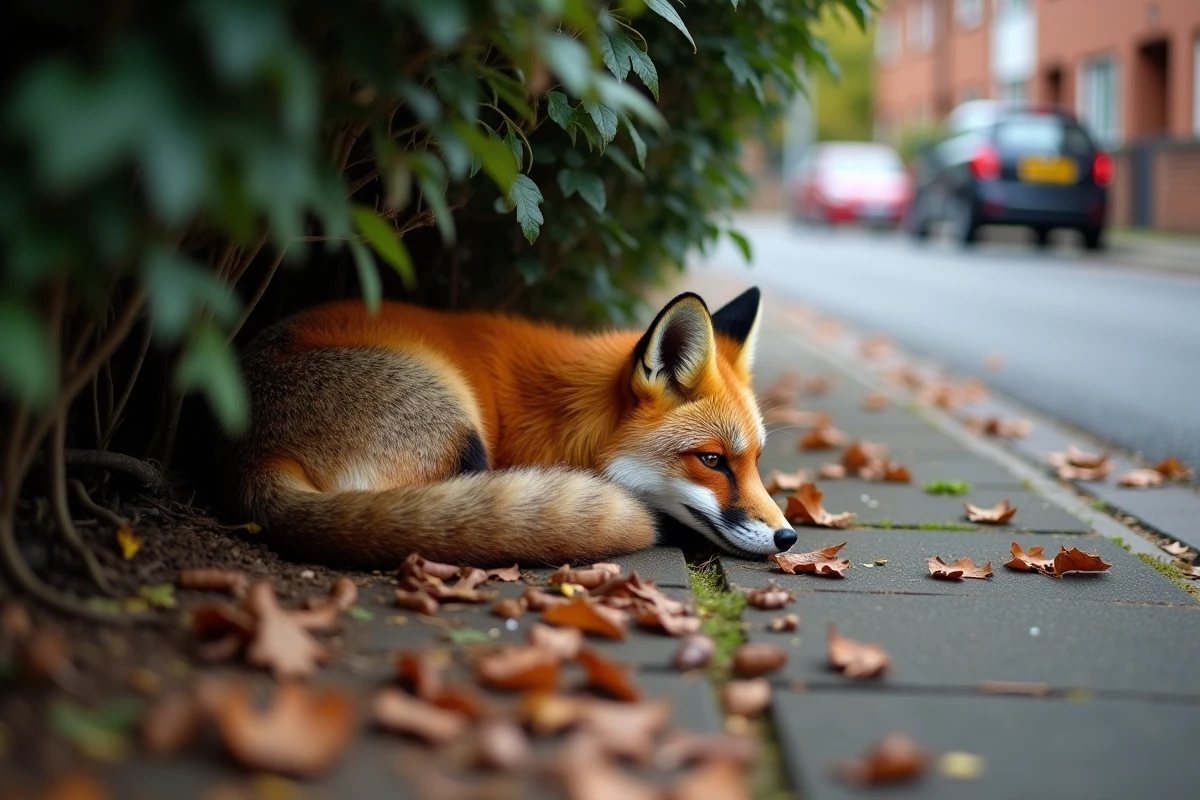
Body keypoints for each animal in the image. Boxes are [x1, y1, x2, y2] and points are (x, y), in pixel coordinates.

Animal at [226, 286, 795, 567]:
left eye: (756, 461)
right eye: (712, 460)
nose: (788, 536)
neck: (559, 412)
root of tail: (250, 452)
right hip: (462, 435)